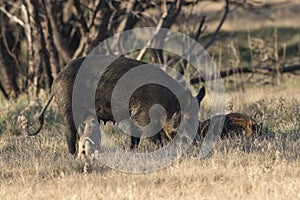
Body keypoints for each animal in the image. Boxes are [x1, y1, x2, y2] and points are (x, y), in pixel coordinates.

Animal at [28, 55, 206, 155]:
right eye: (185, 118)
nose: (197, 144)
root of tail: (56, 80)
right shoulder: (142, 116)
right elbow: (153, 136)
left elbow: (135, 139)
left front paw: (132, 152)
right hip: (67, 107)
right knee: (69, 133)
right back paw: (72, 155)